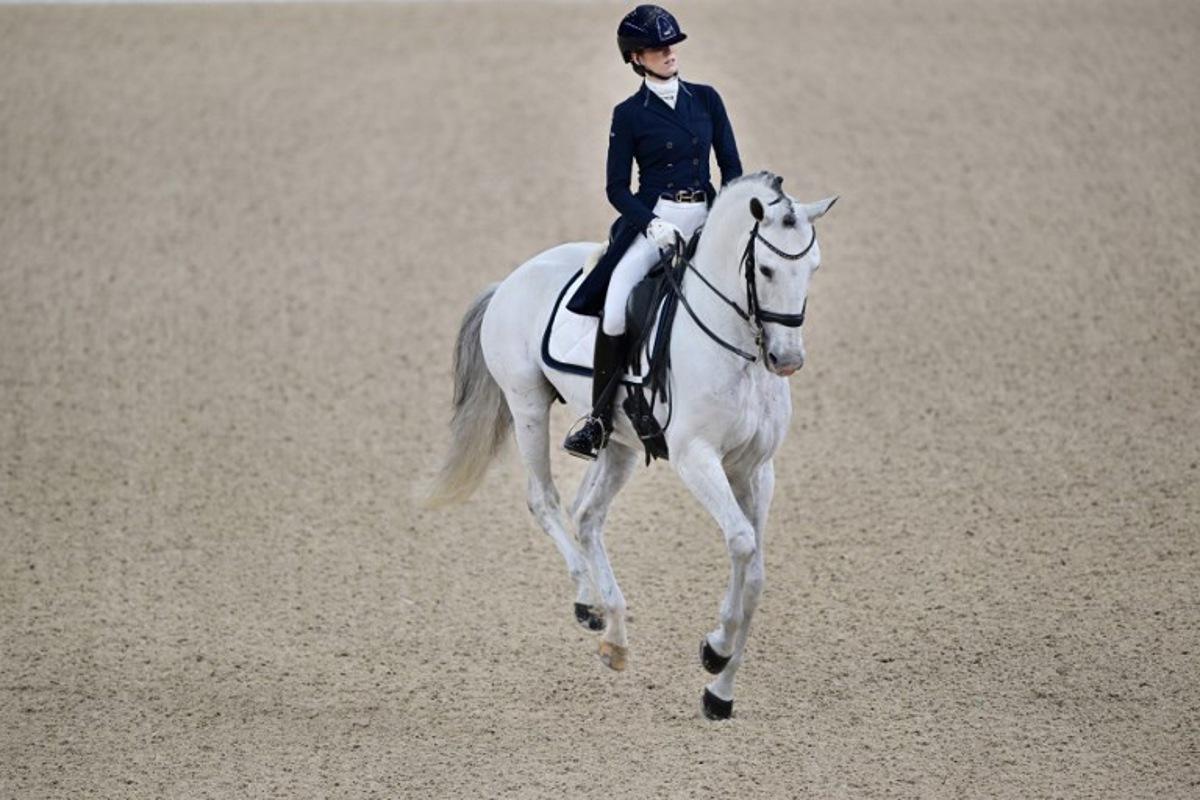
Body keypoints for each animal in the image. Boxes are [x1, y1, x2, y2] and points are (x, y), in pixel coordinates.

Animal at [427, 171, 837, 719]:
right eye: (767, 268)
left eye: (813, 267)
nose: (787, 360)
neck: (734, 346)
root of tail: (510, 281)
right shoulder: (696, 458)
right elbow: (741, 542)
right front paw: (717, 651)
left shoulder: (755, 468)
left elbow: (753, 570)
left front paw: (718, 684)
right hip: (528, 406)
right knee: (545, 500)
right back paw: (588, 600)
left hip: (618, 443)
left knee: (586, 515)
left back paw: (613, 633)